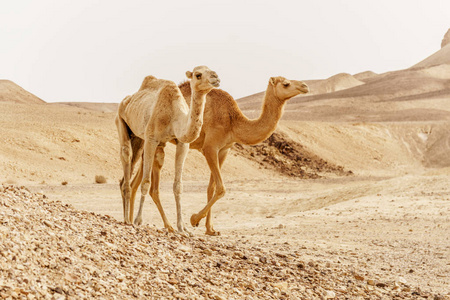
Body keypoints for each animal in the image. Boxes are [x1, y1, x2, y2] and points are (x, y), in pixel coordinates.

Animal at [116, 65, 220, 233]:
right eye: (198, 75)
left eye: (212, 70)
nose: (215, 77)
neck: (173, 115)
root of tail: (127, 99)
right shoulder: (151, 139)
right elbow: (146, 182)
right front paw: (138, 220)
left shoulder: (182, 143)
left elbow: (178, 186)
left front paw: (182, 226)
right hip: (121, 120)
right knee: (126, 154)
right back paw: (127, 220)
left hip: (139, 138)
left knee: (135, 164)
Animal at [126, 76, 310, 236]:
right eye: (286, 84)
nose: (304, 86)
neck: (233, 121)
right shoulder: (210, 147)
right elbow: (221, 188)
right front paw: (194, 219)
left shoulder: (224, 150)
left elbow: (211, 188)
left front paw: (211, 229)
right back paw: (149, 223)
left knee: (135, 182)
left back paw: (132, 220)